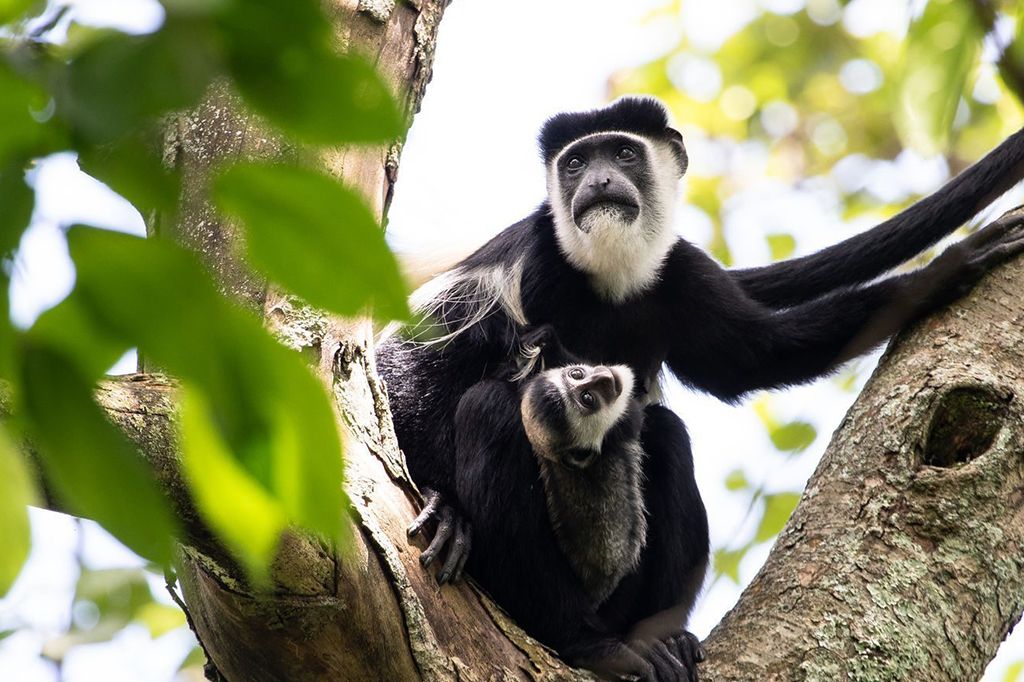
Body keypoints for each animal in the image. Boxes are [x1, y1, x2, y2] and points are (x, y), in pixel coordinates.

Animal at [453, 325, 707, 681]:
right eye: (588, 399)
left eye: (577, 374)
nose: (605, 378)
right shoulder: (620, 426)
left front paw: (544, 344)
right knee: (485, 407)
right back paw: (591, 645)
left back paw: (672, 643)